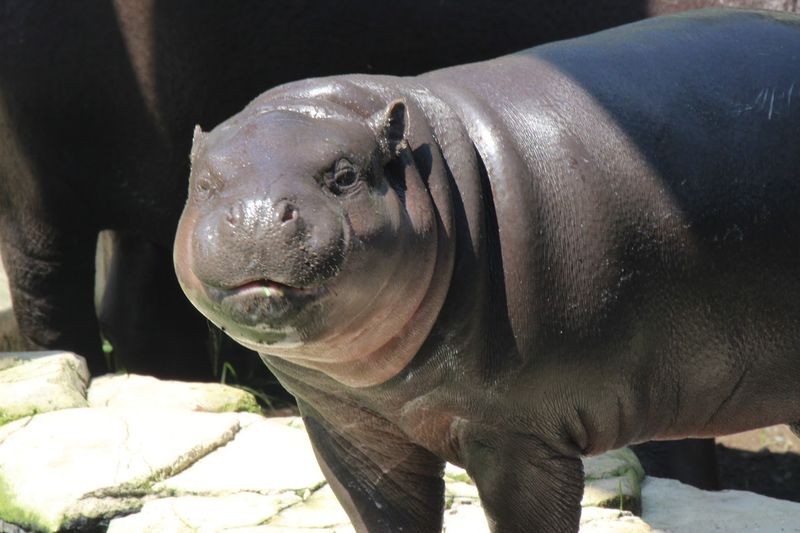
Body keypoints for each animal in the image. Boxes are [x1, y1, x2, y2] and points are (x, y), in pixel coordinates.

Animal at [175, 9, 800, 531]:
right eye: (203, 183)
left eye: (345, 174)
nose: (257, 212)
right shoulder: (350, 430)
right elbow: (383, 514)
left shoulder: (519, 432)